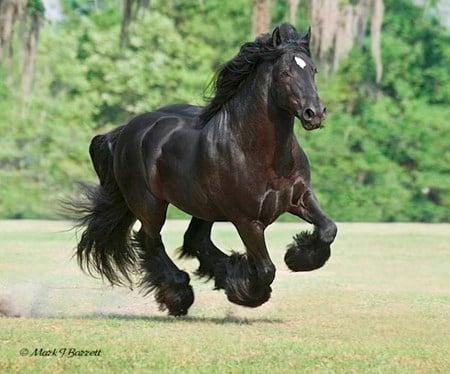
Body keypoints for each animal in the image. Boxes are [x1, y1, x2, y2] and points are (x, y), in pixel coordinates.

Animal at [72, 23, 336, 316]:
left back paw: (220, 274)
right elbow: (267, 269)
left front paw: (296, 257)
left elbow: (328, 229)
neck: (262, 153)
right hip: (150, 204)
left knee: (194, 240)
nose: (315, 114)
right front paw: (245, 290)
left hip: (203, 207)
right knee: (150, 241)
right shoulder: (247, 221)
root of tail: (127, 131)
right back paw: (179, 294)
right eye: (285, 72)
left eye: (312, 69)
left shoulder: (300, 197)